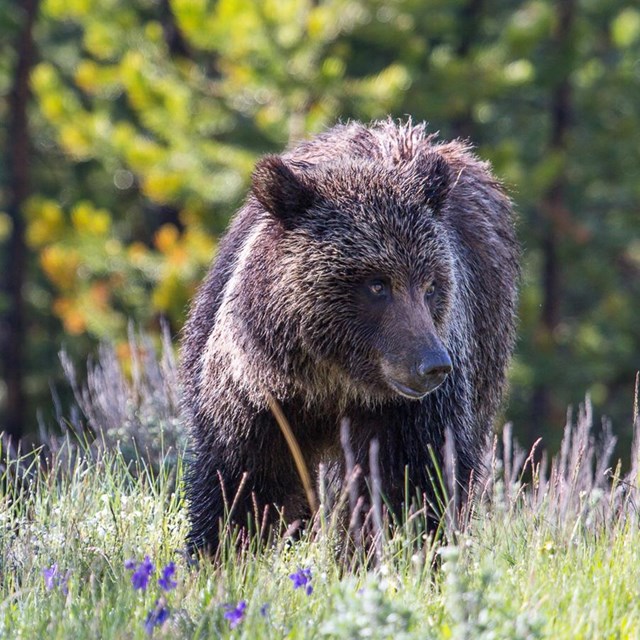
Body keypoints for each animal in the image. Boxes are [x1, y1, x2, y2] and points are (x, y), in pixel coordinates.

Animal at [180, 120, 520, 556]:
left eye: (430, 285)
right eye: (377, 284)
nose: (433, 364)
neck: (331, 380)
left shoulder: (404, 415)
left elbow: (409, 484)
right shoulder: (256, 395)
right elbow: (244, 481)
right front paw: (221, 550)